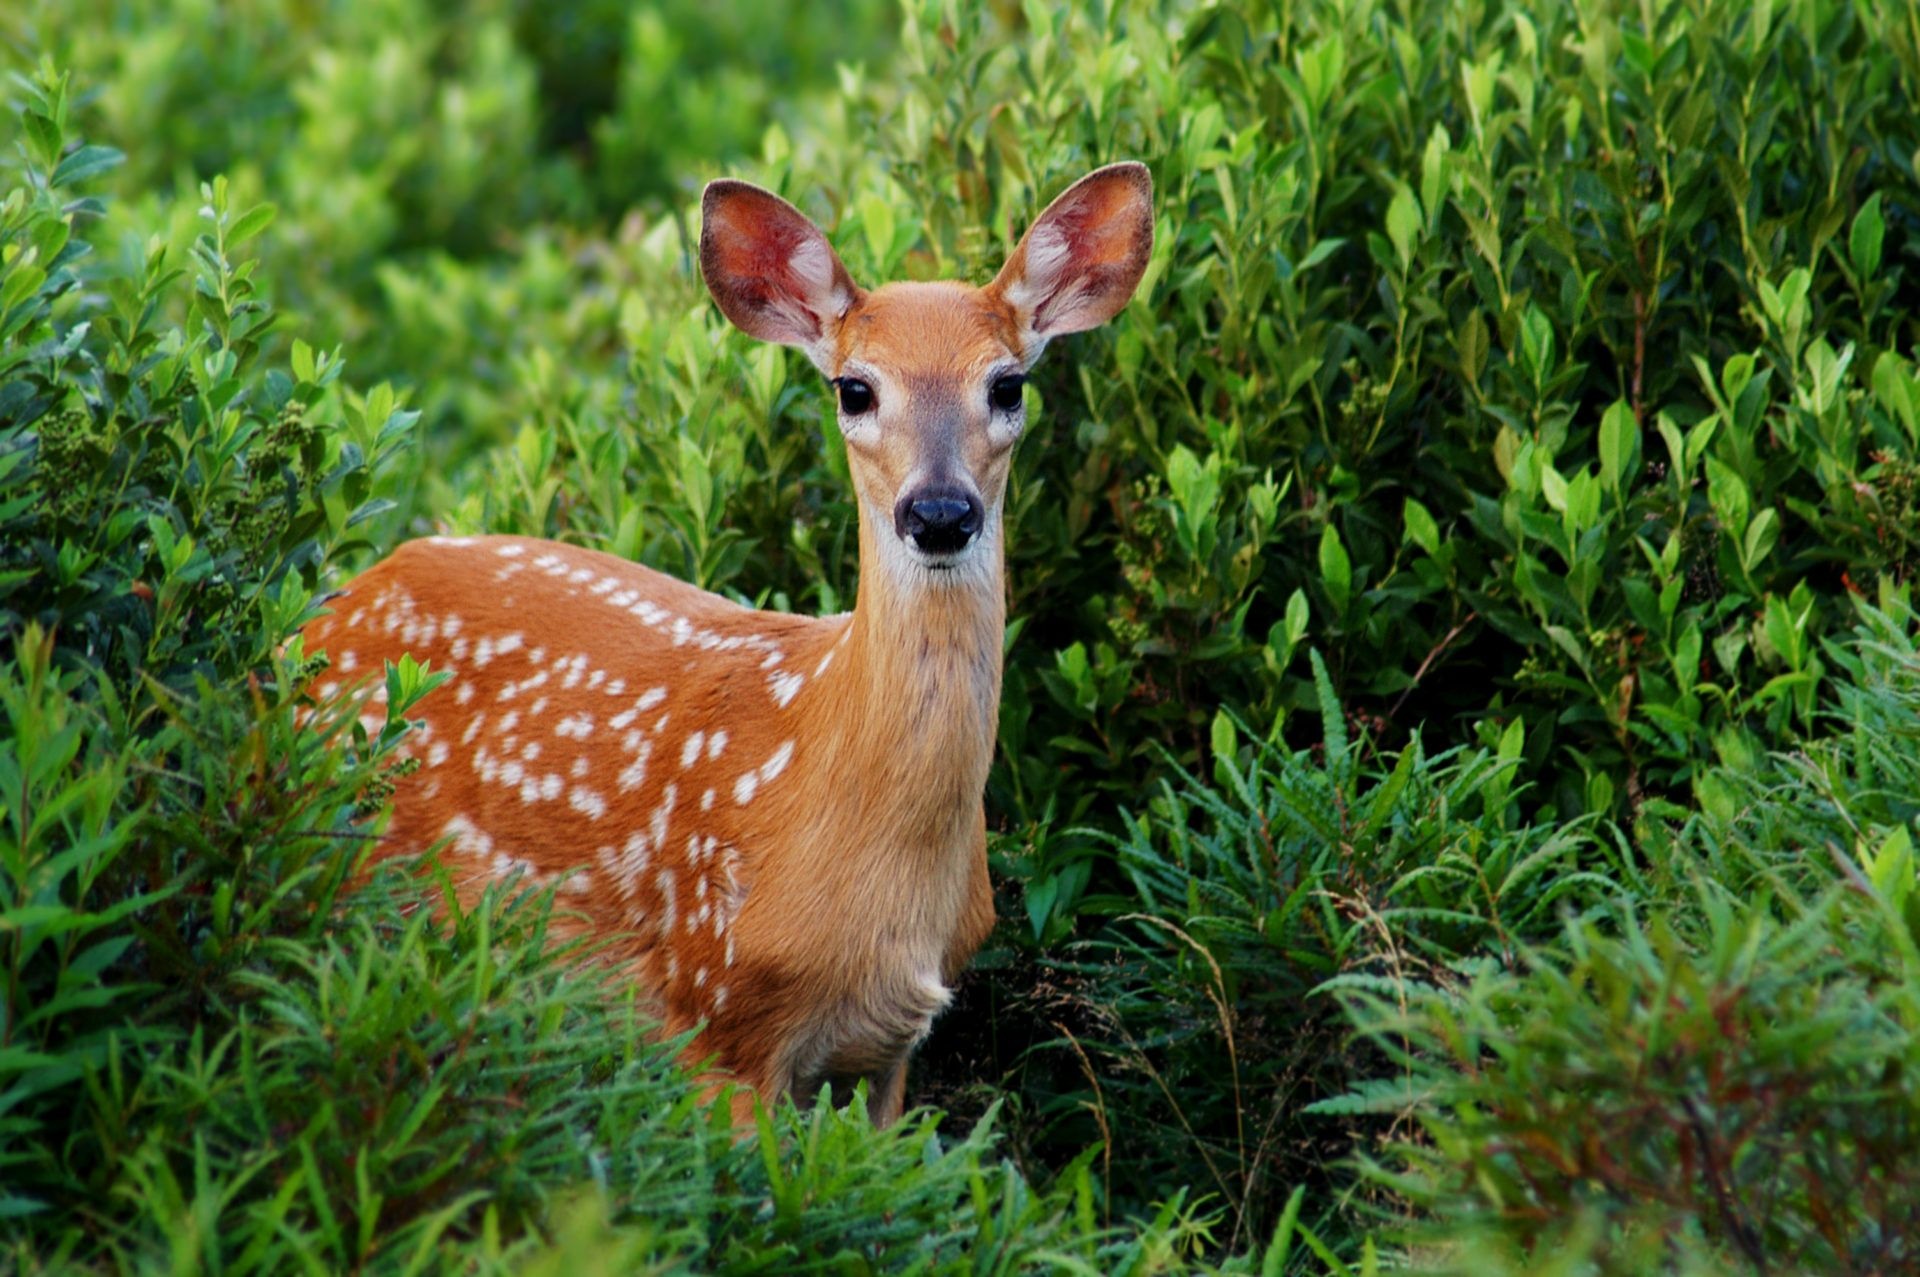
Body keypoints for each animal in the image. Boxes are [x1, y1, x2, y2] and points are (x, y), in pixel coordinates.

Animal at [303, 159, 1152, 1129]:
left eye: (1008, 385)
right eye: (854, 388)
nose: (939, 512)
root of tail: (324, 615)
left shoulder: (893, 1050)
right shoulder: (713, 1000)